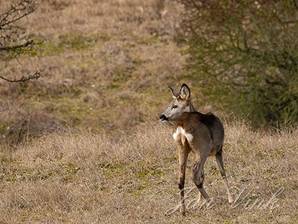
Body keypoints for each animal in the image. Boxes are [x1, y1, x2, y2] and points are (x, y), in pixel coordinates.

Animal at [158, 83, 233, 215]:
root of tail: (182, 129)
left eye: (174, 105)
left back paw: (183, 210)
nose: (162, 116)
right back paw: (210, 202)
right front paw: (230, 199)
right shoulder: (218, 150)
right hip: (203, 149)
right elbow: (222, 172)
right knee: (195, 173)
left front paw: (199, 202)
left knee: (182, 178)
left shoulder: (195, 152)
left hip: (183, 148)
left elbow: (203, 174)